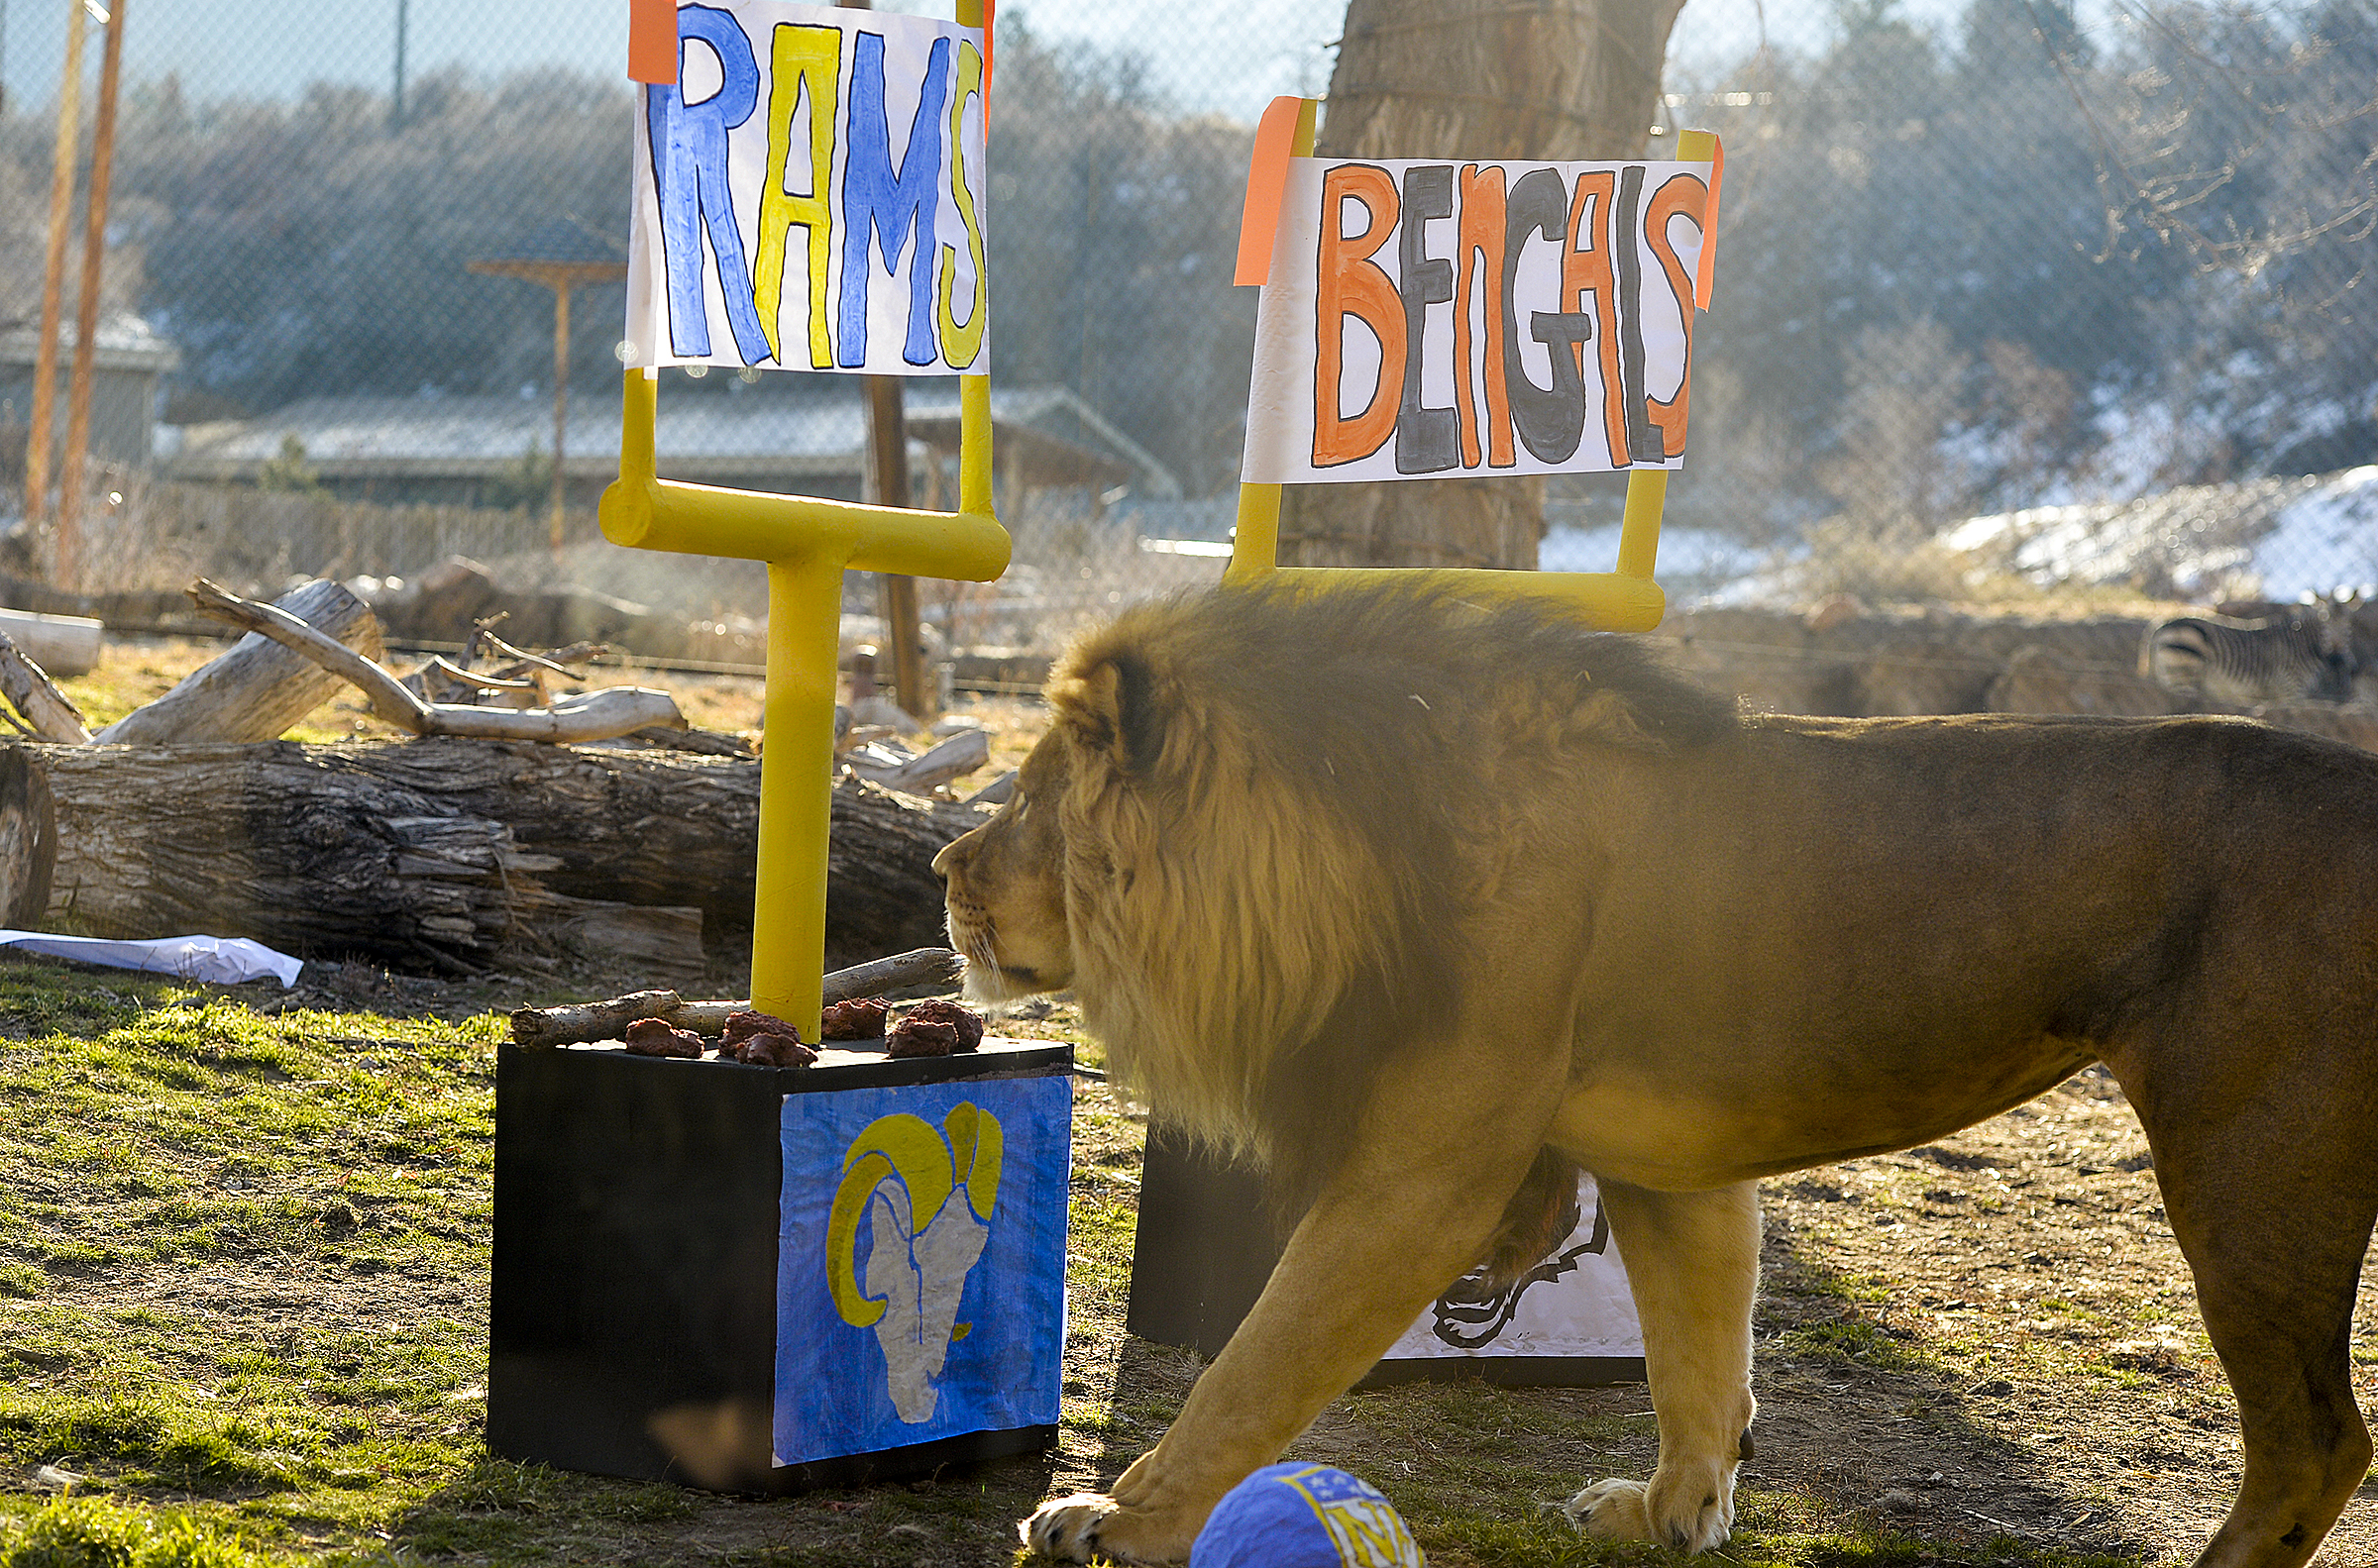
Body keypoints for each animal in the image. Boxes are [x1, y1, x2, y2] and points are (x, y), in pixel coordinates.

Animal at [2159, 603, 2358, 707]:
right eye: (2325, 627)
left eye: (2348, 628)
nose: (2341, 659)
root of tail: (2165, 624)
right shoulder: (2290, 689)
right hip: (2184, 676)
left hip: (2171, 675)